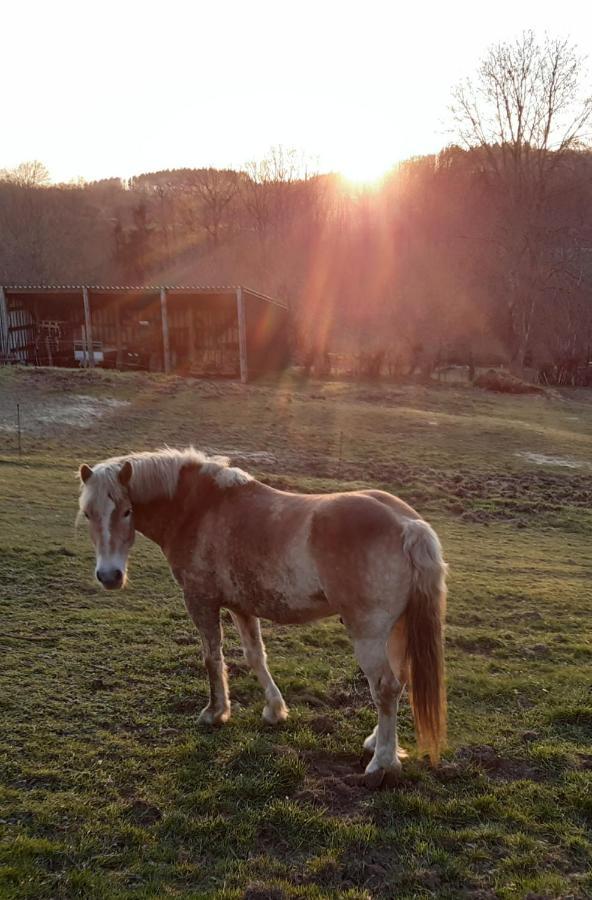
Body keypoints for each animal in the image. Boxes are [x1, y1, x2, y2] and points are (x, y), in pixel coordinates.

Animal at [80, 448, 448, 780]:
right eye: (88, 514)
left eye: (127, 511)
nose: (109, 576)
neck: (198, 509)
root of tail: (408, 524)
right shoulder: (242, 607)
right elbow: (256, 656)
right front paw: (274, 710)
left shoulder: (200, 600)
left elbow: (211, 657)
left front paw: (215, 712)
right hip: (397, 629)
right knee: (399, 681)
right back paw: (379, 744)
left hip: (369, 633)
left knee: (384, 687)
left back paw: (381, 764)